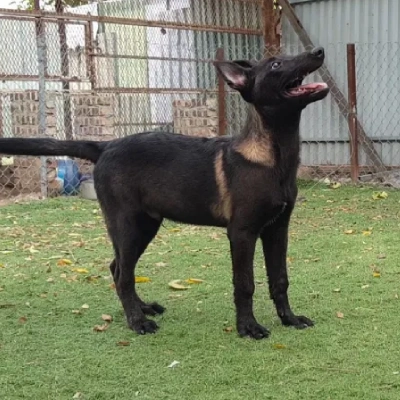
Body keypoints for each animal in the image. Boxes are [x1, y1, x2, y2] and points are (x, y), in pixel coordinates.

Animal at [0, 48, 328, 340]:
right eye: (275, 64)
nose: (319, 52)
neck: (273, 155)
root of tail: (106, 146)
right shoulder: (242, 232)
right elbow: (244, 284)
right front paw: (248, 327)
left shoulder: (277, 229)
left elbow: (280, 279)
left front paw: (289, 319)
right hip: (127, 225)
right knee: (123, 274)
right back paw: (137, 322)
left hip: (144, 225)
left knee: (118, 268)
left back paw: (141, 308)